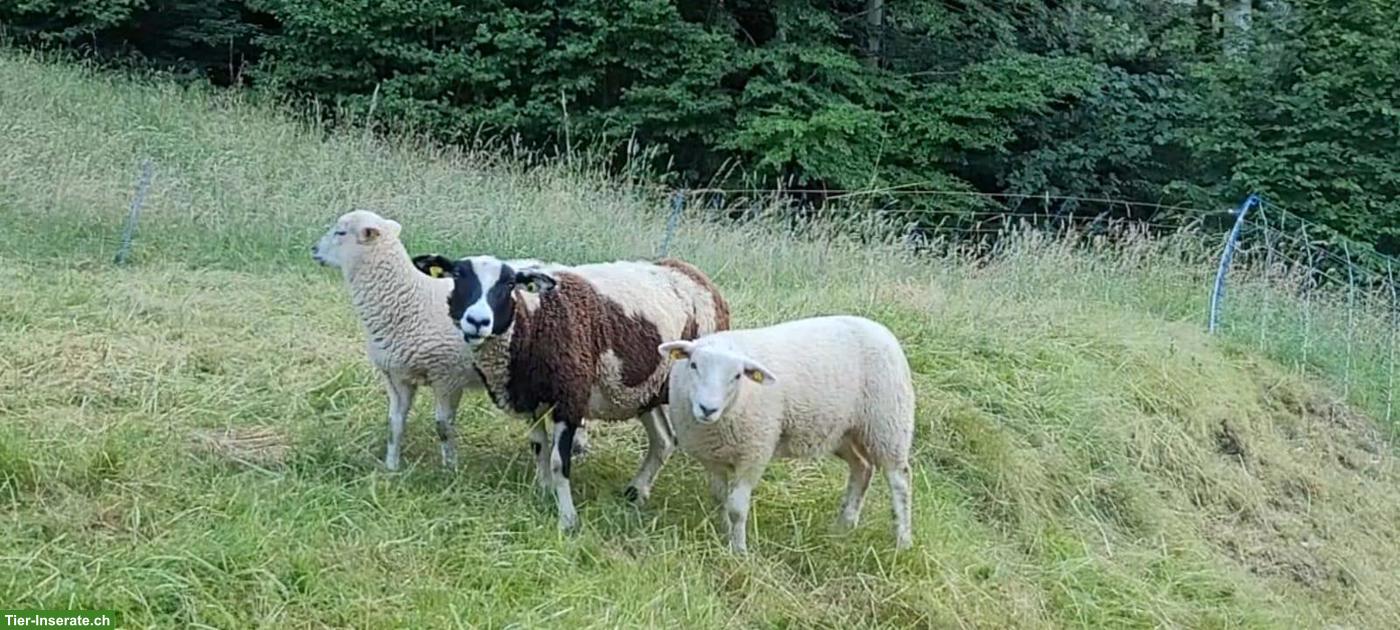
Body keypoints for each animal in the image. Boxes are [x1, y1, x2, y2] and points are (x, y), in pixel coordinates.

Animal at [311, 210, 586, 470]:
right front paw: (391, 466)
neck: (409, 297)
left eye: (340, 232)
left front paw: (450, 469)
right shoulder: (397, 377)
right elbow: (395, 423)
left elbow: (443, 426)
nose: (313, 250)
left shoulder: (447, 377)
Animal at [436, 254, 730, 530]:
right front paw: (543, 492)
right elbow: (540, 448)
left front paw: (567, 519)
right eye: (457, 275)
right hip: (647, 390)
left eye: (508, 284)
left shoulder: (570, 398)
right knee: (664, 439)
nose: (477, 321)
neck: (532, 317)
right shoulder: (533, 399)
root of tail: (695, 274)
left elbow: (558, 462)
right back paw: (636, 492)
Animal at [657, 315, 915, 553]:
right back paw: (844, 527)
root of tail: (879, 327)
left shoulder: (754, 455)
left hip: (888, 423)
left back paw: (903, 541)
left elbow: (737, 508)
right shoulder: (712, 458)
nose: (707, 409)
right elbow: (720, 500)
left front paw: (739, 551)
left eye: (738, 375)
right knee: (863, 468)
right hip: (843, 431)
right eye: (693, 365)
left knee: (900, 481)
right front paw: (722, 534)